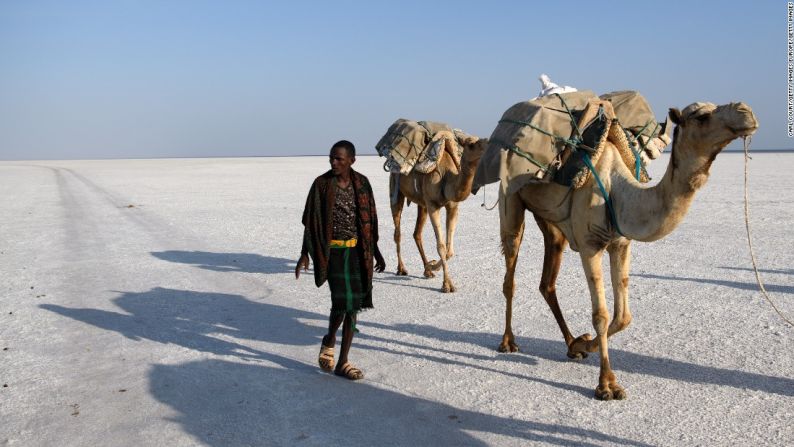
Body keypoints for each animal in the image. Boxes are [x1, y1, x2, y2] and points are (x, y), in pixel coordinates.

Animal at [390, 132, 488, 294]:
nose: (489, 145)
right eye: (471, 144)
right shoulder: (433, 205)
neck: (446, 177)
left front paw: (432, 266)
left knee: (417, 233)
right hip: (396, 188)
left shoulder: (452, 206)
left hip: (422, 203)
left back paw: (427, 270)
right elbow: (441, 246)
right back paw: (401, 269)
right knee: (397, 232)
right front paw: (447, 285)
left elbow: (449, 250)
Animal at [498, 102, 756, 402]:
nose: (746, 112)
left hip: (551, 221)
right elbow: (601, 315)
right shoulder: (590, 245)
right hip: (510, 198)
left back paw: (571, 343)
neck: (617, 189)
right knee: (510, 270)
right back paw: (508, 342)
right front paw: (607, 385)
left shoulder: (621, 243)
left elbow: (623, 317)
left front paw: (584, 345)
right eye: (702, 116)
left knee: (547, 282)